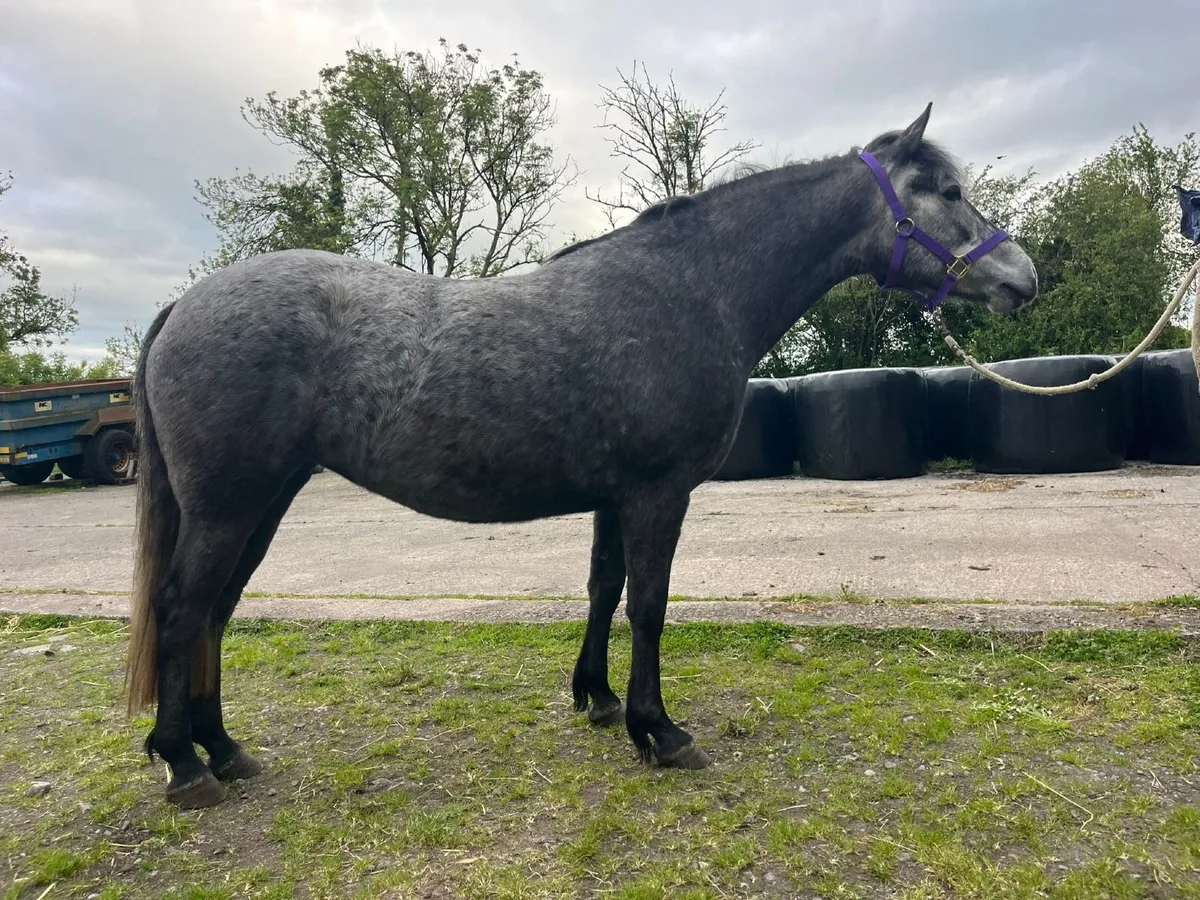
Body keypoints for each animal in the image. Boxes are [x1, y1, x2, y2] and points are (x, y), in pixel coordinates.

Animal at [123, 103, 1038, 808]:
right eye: (948, 191)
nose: (1022, 279)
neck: (692, 289)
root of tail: (184, 306)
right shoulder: (658, 493)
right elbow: (650, 604)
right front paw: (658, 730)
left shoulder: (613, 495)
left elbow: (603, 589)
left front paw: (595, 699)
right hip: (230, 504)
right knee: (182, 609)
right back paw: (184, 766)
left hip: (263, 501)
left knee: (214, 612)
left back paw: (224, 750)